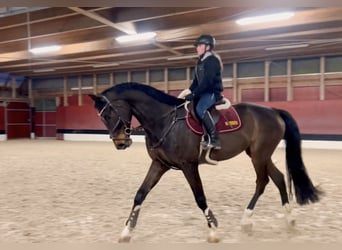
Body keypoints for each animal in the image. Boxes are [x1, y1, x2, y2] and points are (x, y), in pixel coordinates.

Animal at [89, 81, 322, 242]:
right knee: (278, 178)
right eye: (102, 117)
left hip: (259, 155)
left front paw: (214, 231)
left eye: (109, 114)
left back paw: (250, 219)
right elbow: (140, 194)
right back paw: (287, 219)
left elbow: (200, 197)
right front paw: (126, 231)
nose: (121, 143)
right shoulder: (159, 164)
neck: (165, 120)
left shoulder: (188, 165)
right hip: (259, 154)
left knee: (263, 181)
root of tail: (274, 111)